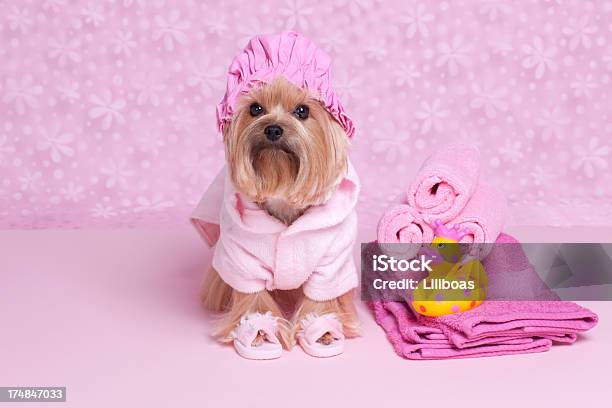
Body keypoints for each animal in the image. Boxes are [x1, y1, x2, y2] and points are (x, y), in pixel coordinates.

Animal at [192, 31, 358, 358]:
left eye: (302, 111)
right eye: (255, 109)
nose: (273, 129)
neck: (282, 188)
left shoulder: (330, 263)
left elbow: (321, 296)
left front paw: (321, 330)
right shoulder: (243, 259)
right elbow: (252, 295)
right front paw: (258, 330)